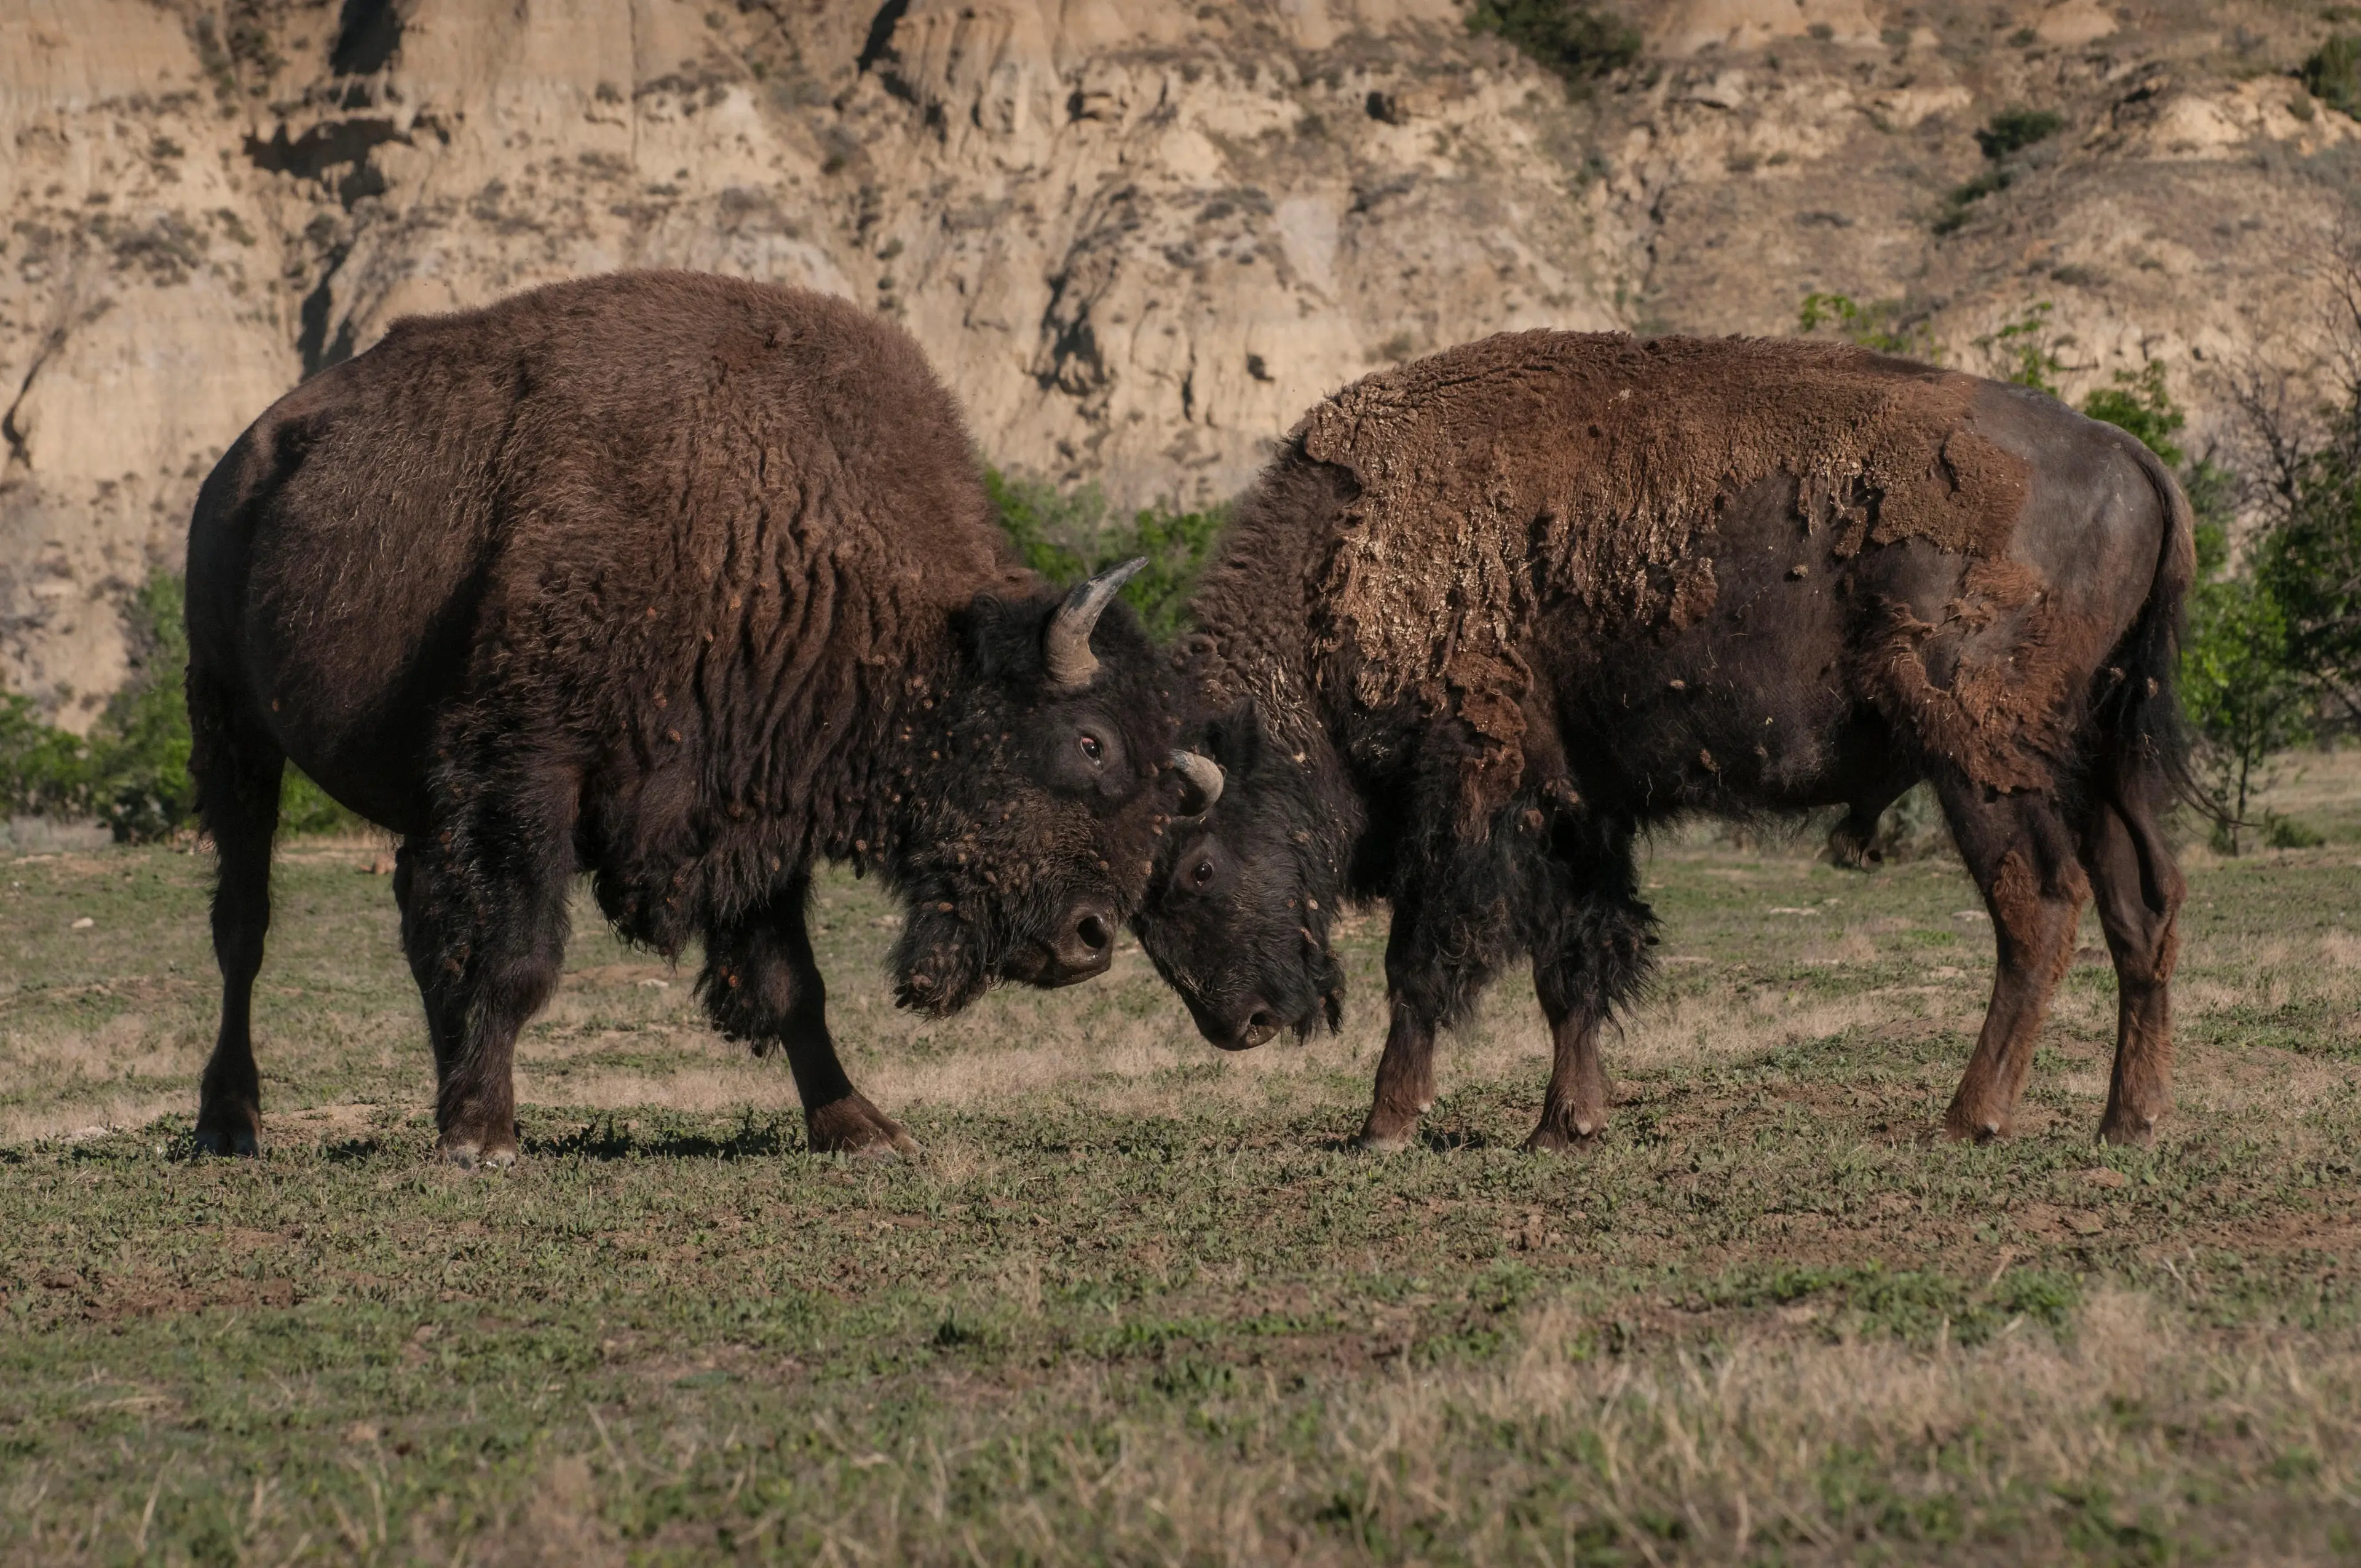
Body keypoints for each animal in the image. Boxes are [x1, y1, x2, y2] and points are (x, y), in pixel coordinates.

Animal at [185, 271, 1218, 1165]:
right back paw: (231, 1123)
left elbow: (793, 984)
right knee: (246, 927)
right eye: (1089, 740)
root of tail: (242, 460)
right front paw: (482, 1140)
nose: (1091, 938)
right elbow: (519, 958)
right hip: (231, 724)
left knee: (418, 917)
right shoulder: (528, 775)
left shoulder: (750, 806)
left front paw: (863, 1128)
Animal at [1137, 331, 2193, 1150]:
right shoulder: (1576, 809)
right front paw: (1563, 1126)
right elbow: (1574, 966)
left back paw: (1969, 1119)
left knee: (2039, 909)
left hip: (1980, 759)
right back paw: (2127, 1122)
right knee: (2140, 907)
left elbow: (1425, 959)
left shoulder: (1472, 790)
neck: (1346, 557)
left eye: (1194, 870)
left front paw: (1386, 1124)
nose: (1240, 1024)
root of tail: (2129, 453)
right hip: (2098, 762)